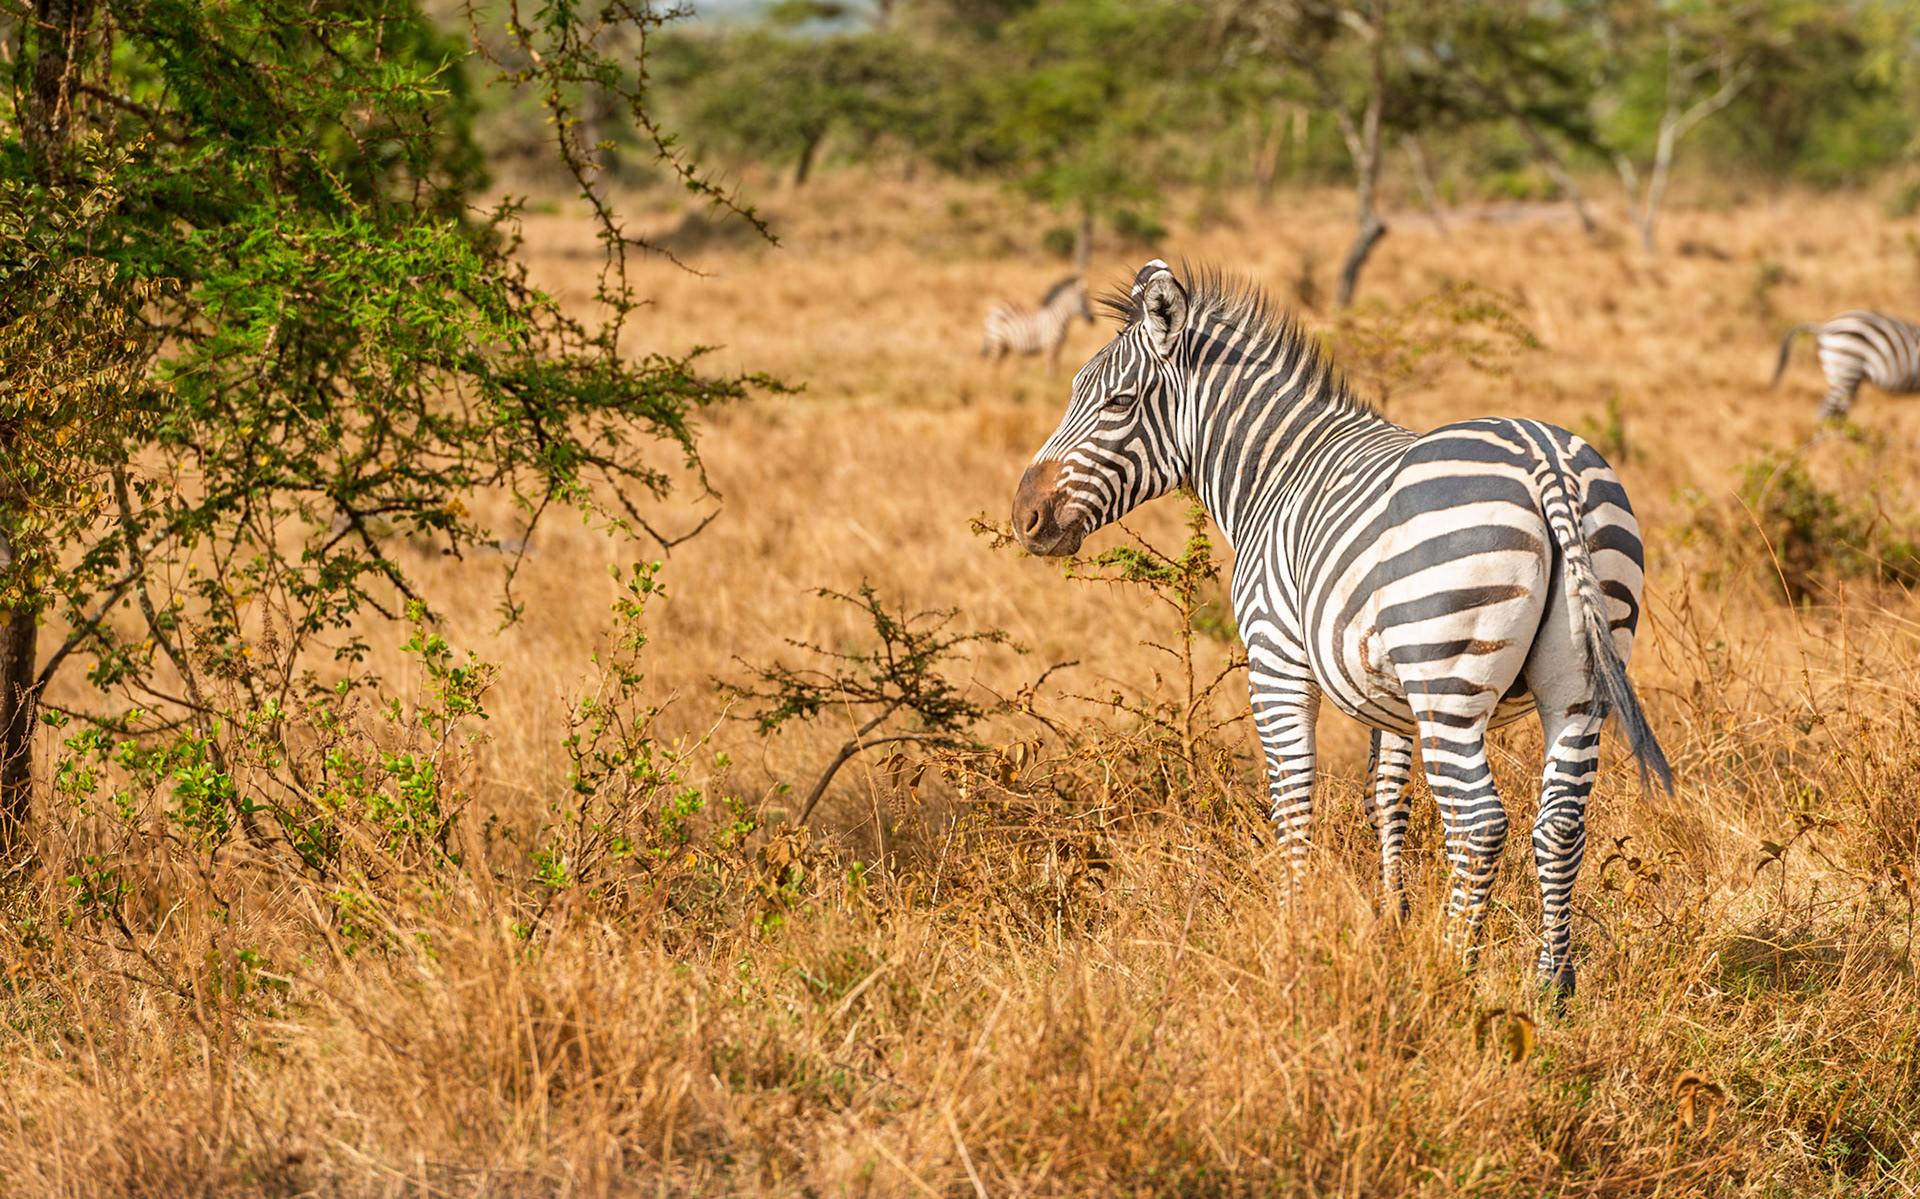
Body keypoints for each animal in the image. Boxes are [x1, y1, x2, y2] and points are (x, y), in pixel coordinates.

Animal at [1011, 260, 1672, 996]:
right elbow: (1386, 799)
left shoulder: (1276, 658)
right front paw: (1392, 921)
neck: (1275, 474)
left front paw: (1293, 929)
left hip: (1449, 680)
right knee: (1559, 822)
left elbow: (1292, 797)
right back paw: (1552, 986)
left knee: (1479, 824)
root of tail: (1545, 460)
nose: (1024, 517)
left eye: (1119, 404)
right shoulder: (1393, 697)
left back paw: (1451, 970)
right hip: (1577, 683)